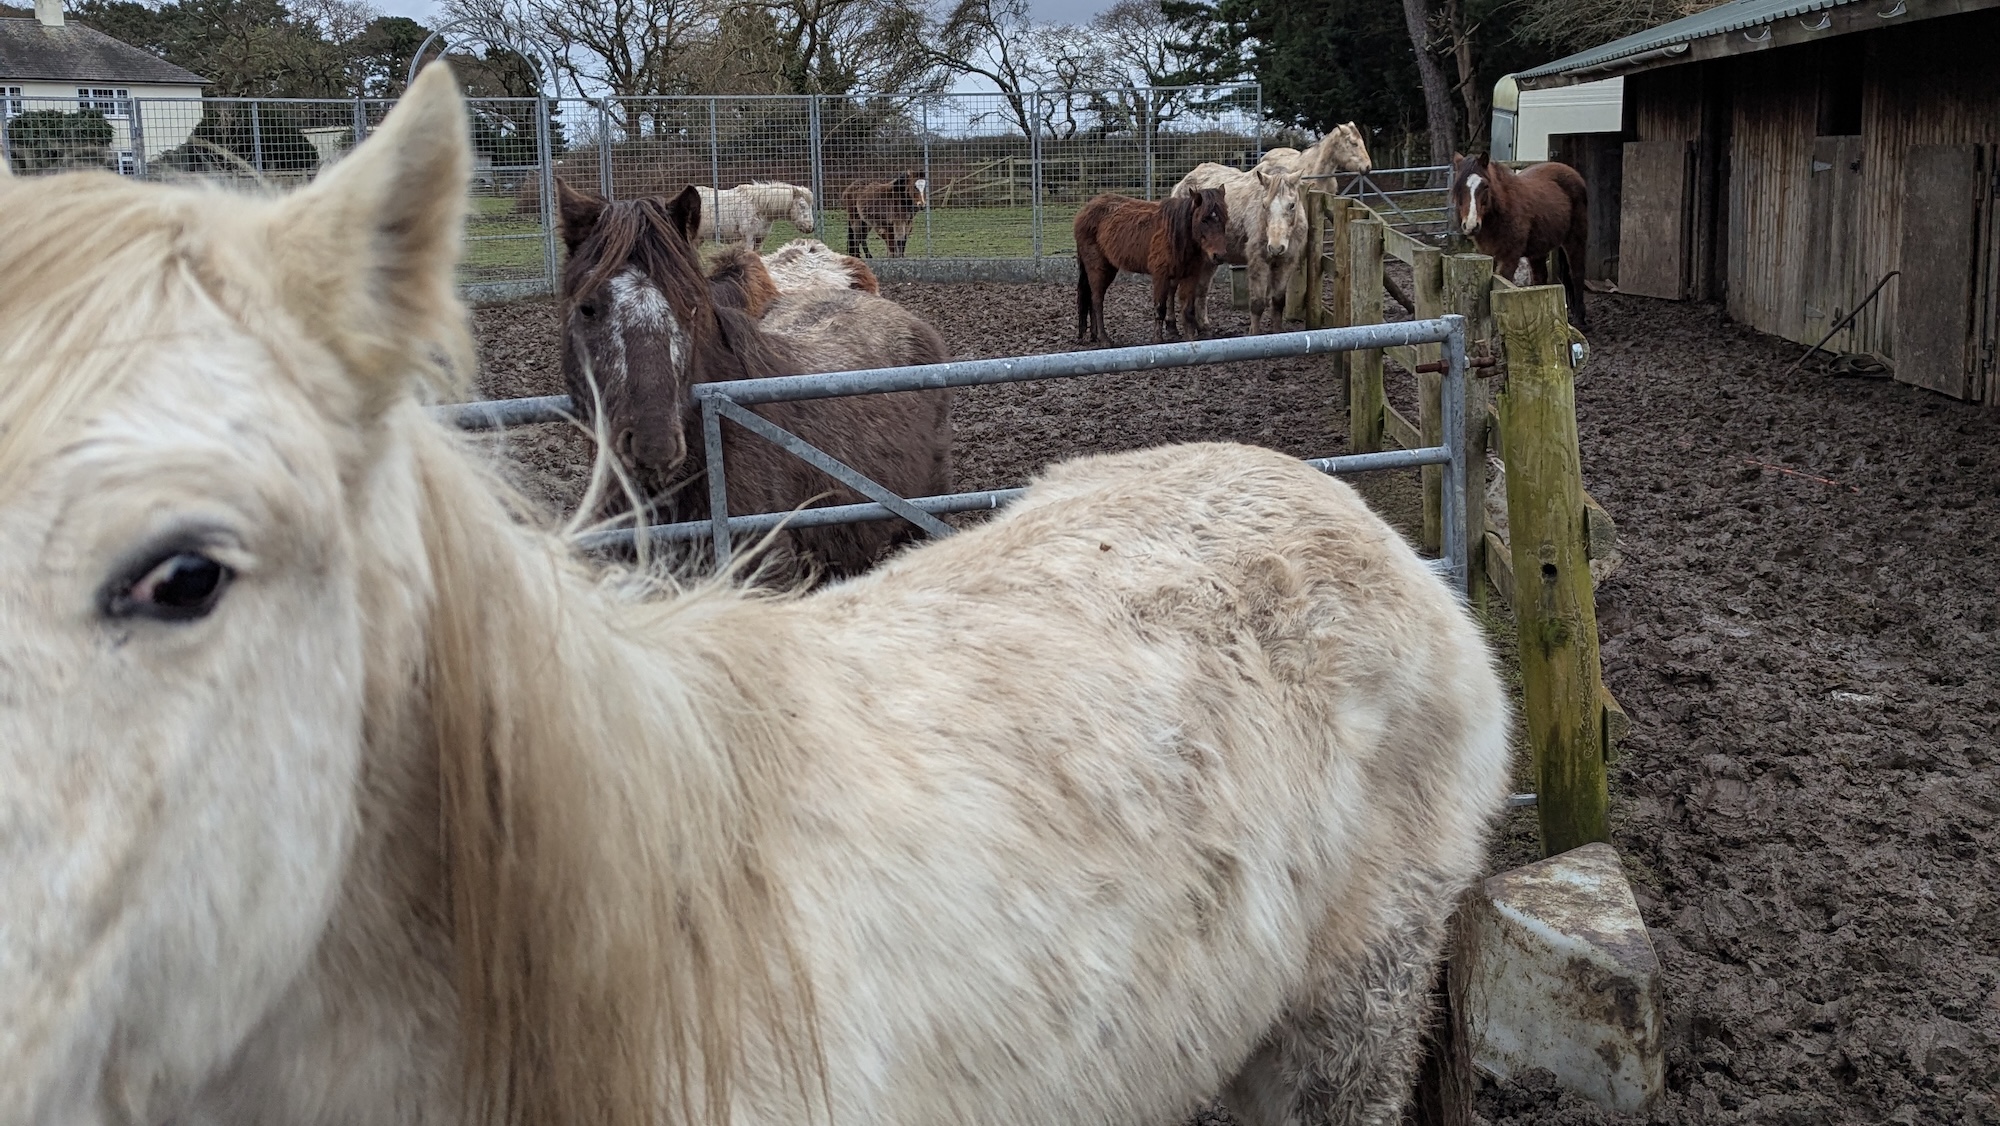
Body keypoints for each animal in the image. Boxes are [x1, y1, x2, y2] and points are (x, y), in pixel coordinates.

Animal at [1073, 189, 1230, 345]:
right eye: (1203, 219)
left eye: (1225, 219)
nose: (1219, 255)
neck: (1176, 235)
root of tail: (1084, 211)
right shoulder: (1161, 275)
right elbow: (1160, 307)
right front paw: (1157, 339)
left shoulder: (1190, 276)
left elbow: (1188, 309)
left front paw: (1190, 338)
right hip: (1098, 268)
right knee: (1097, 301)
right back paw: (1104, 338)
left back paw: (1095, 335)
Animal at [1171, 163, 1309, 335]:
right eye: (1264, 205)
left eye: (1292, 205)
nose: (1275, 247)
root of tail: (1181, 184)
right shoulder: (1258, 261)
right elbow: (1257, 304)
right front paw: (1254, 334)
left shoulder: (1286, 262)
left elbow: (1278, 302)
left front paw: (1278, 332)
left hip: (1208, 260)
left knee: (1200, 290)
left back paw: (1202, 327)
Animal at [1448, 153, 1590, 328]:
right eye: (1458, 187)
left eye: (1485, 186)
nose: (1471, 225)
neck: (1502, 212)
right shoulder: (1489, 255)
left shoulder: (1510, 258)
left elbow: (1503, 284)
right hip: (1539, 251)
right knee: (1540, 278)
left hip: (1575, 239)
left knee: (1577, 273)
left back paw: (1579, 318)